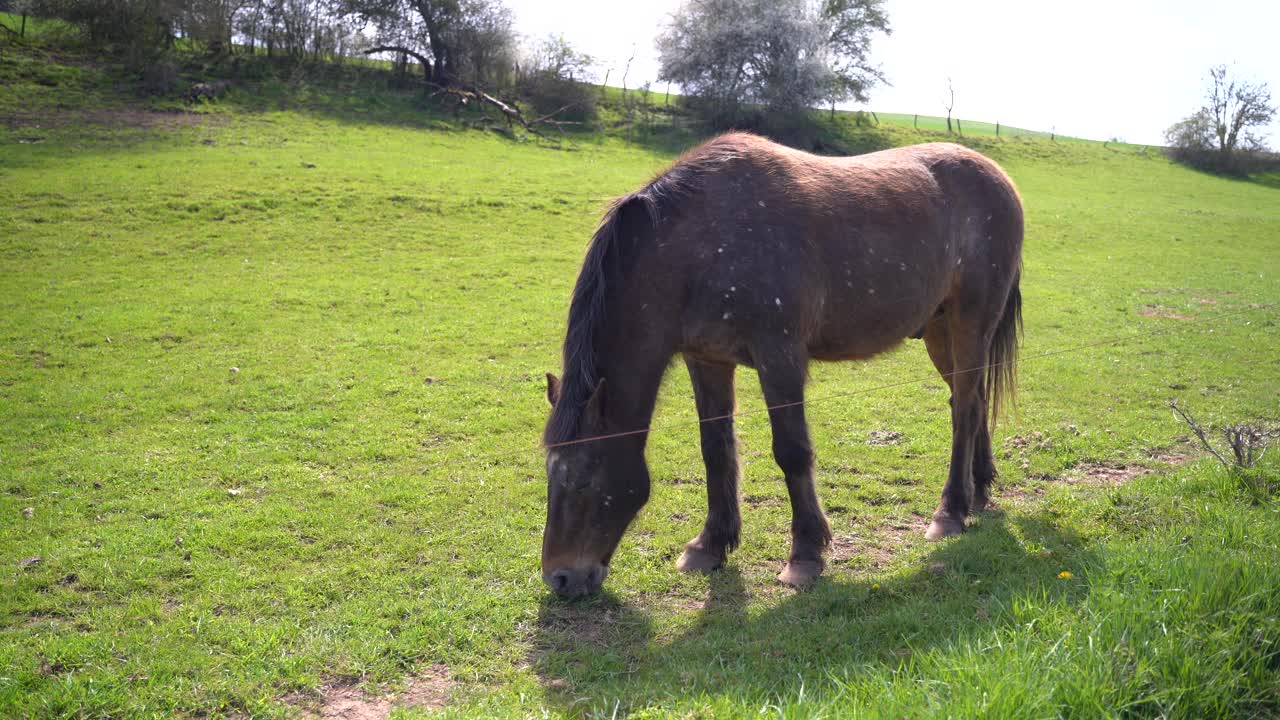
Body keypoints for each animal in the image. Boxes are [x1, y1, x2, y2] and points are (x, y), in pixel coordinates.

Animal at [537, 131, 1018, 597]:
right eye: (549, 475)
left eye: (584, 477)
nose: (560, 578)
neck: (699, 246)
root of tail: (999, 178)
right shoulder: (707, 360)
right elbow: (715, 450)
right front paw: (710, 545)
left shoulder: (780, 357)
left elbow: (791, 452)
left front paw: (805, 555)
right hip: (940, 332)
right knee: (971, 401)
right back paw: (978, 490)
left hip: (970, 323)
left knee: (964, 410)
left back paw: (950, 512)